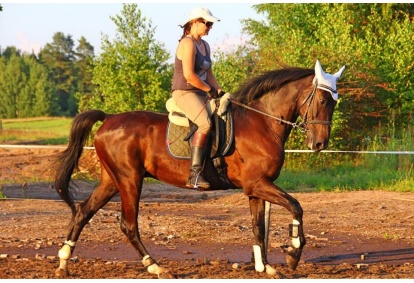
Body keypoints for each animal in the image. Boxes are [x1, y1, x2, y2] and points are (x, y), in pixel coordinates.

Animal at [55, 60, 346, 280]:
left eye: (335, 102)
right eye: (322, 100)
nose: (320, 144)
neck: (262, 122)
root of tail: (109, 119)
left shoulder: (255, 189)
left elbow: (258, 227)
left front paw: (265, 267)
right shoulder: (257, 184)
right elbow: (296, 206)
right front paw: (293, 252)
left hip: (111, 180)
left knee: (83, 212)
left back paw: (63, 263)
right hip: (129, 180)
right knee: (128, 225)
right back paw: (156, 267)